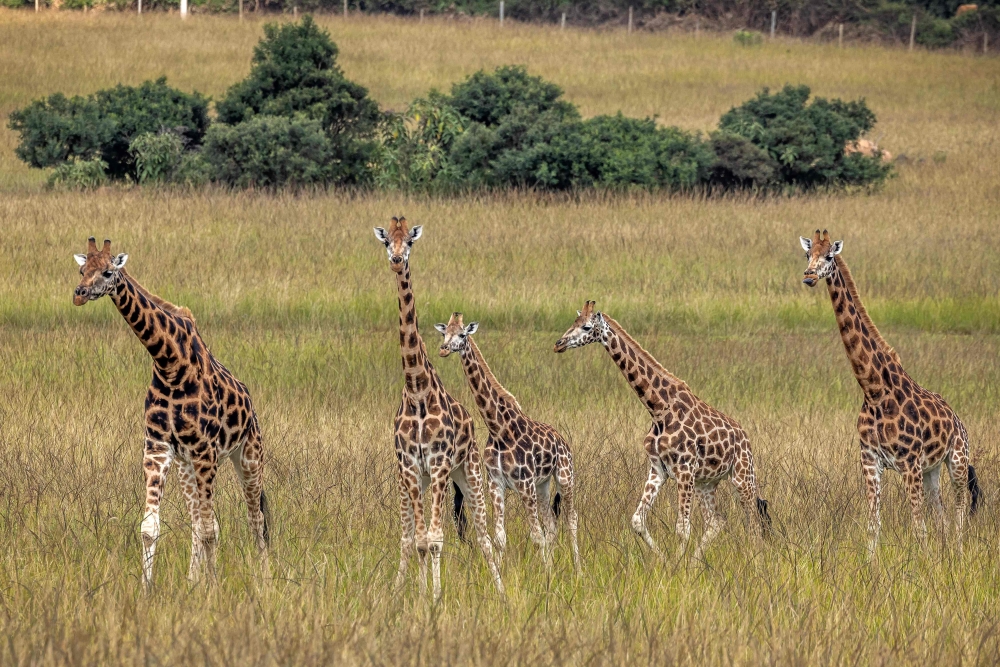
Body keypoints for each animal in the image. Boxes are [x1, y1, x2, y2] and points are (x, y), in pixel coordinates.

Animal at [72, 237, 269, 591]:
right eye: (82, 270)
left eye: (108, 271)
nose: (79, 294)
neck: (169, 364)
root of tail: (251, 406)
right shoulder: (158, 448)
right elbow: (151, 528)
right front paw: (147, 590)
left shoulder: (205, 451)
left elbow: (210, 529)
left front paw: (213, 588)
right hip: (186, 466)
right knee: (198, 521)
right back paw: (193, 581)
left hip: (247, 457)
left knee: (255, 520)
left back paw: (265, 581)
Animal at [373, 218, 503, 601]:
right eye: (386, 241)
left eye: (410, 243)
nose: (397, 261)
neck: (417, 389)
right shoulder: (412, 468)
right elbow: (418, 540)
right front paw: (418, 596)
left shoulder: (440, 463)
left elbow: (435, 540)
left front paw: (435, 598)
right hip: (424, 480)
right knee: (410, 537)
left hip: (468, 473)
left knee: (485, 537)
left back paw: (502, 592)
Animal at [436, 313, 580, 573]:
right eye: (444, 333)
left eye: (462, 334)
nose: (443, 349)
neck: (499, 428)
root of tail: (563, 441)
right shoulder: (496, 483)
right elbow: (500, 537)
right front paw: (504, 573)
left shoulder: (524, 484)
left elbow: (536, 536)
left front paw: (544, 576)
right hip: (543, 485)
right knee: (552, 525)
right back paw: (555, 566)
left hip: (564, 476)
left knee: (571, 519)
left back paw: (578, 569)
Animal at [554, 301, 771, 559]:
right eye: (573, 322)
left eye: (586, 327)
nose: (559, 344)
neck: (657, 409)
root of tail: (745, 438)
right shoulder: (659, 468)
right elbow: (638, 521)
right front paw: (664, 560)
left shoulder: (684, 469)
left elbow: (682, 528)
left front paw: (677, 566)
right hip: (706, 483)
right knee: (717, 521)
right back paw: (697, 561)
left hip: (742, 476)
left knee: (754, 523)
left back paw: (756, 559)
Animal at [800, 229, 981, 555]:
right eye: (807, 255)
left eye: (829, 256)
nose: (809, 276)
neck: (874, 390)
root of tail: (957, 418)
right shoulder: (870, 460)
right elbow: (874, 526)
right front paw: (871, 566)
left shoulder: (909, 463)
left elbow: (918, 528)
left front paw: (923, 563)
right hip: (932, 470)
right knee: (942, 513)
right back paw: (947, 553)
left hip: (958, 459)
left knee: (959, 507)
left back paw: (959, 552)